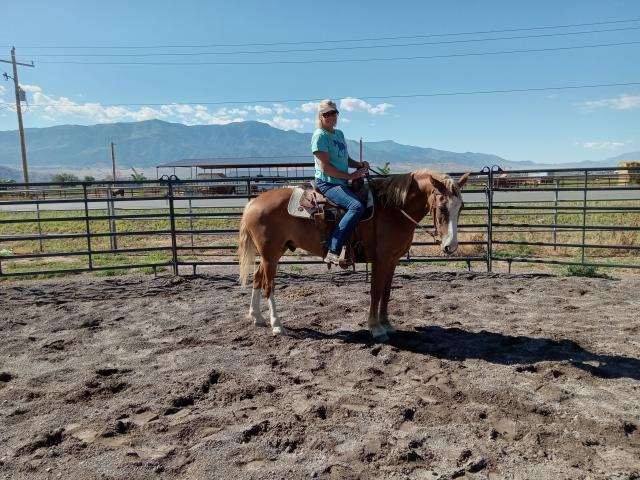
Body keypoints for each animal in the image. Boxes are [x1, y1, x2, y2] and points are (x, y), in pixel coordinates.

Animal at [238, 171, 468, 344]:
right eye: (442, 207)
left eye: (461, 207)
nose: (450, 246)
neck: (392, 209)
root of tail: (253, 203)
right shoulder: (381, 260)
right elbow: (375, 292)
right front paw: (375, 328)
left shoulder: (392, 260)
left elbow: (386, 292)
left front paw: (386, 324)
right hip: (271, 255)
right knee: (269, 285)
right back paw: (276, 325)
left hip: (272, 254)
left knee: (257, 277)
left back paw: (257, 317)